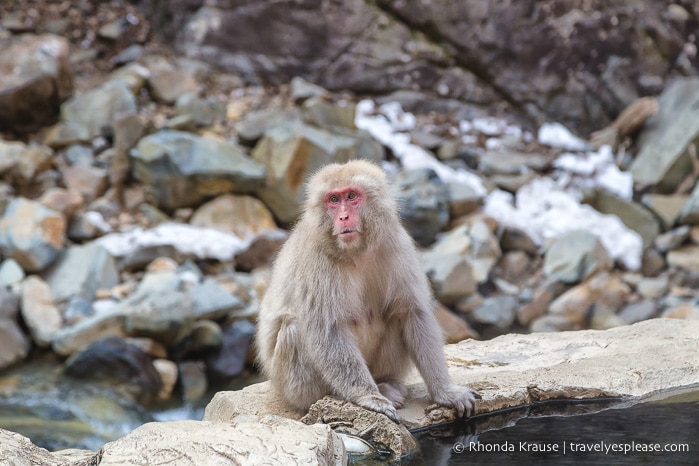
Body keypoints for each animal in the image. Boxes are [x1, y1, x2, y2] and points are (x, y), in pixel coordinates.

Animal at [258, 159, 482, 422]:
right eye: (333, 199)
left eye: (352, 196)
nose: (343, 216)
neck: (355, 253)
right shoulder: (315, 261)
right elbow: (328, 330)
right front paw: (368, 397)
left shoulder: (397, 245)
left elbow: (412, 313)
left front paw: (445, 392)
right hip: (291, 386)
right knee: (294, 329)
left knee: (395, 315)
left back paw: (387, 384)